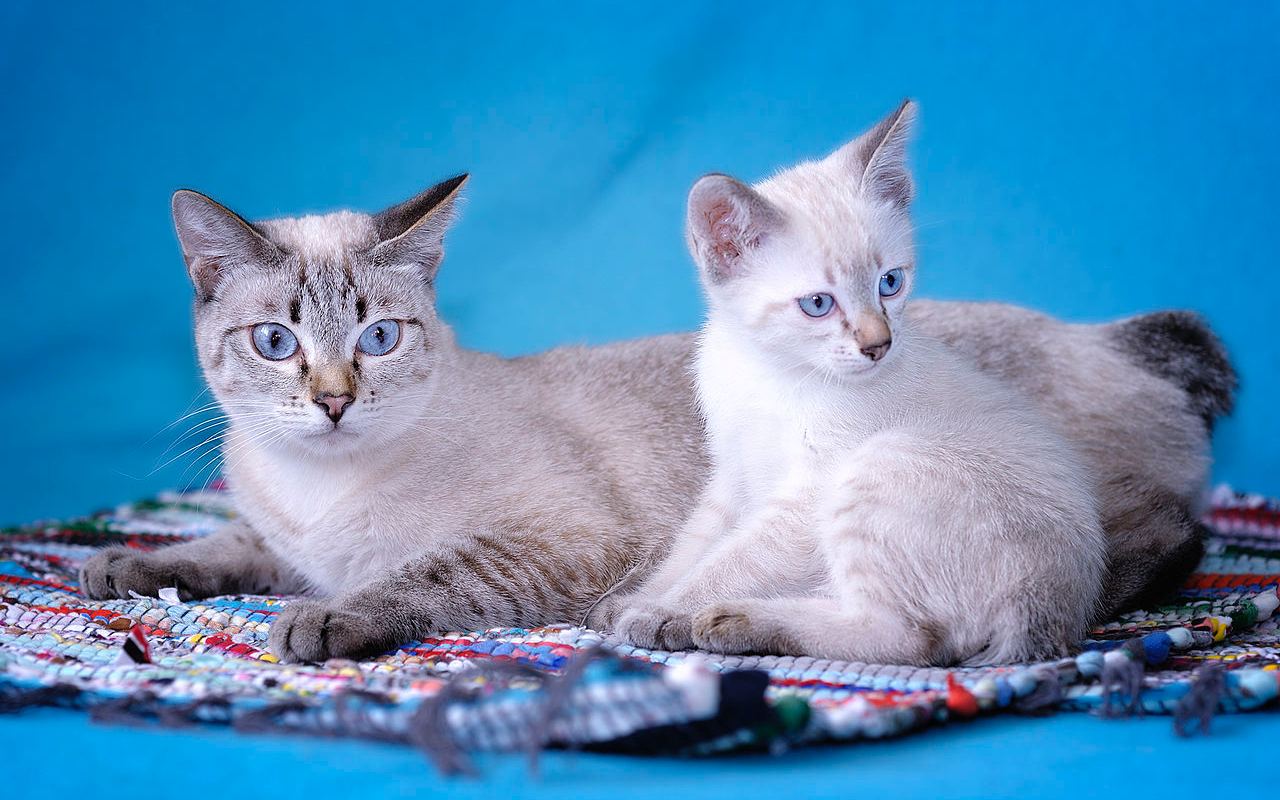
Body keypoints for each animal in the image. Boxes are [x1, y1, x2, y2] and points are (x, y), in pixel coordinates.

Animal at [609, 101, 1111, 660]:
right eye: (818, 304)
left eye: (889, 283)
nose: (878, 345)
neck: (769, 370)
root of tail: (1052, 607)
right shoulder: (732, 475)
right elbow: (692, 547)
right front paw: (638, 600)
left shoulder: (808, 496)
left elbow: (732, 562)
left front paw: (661, 612)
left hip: (881, 464)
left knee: (905, 637)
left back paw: (733, 620)